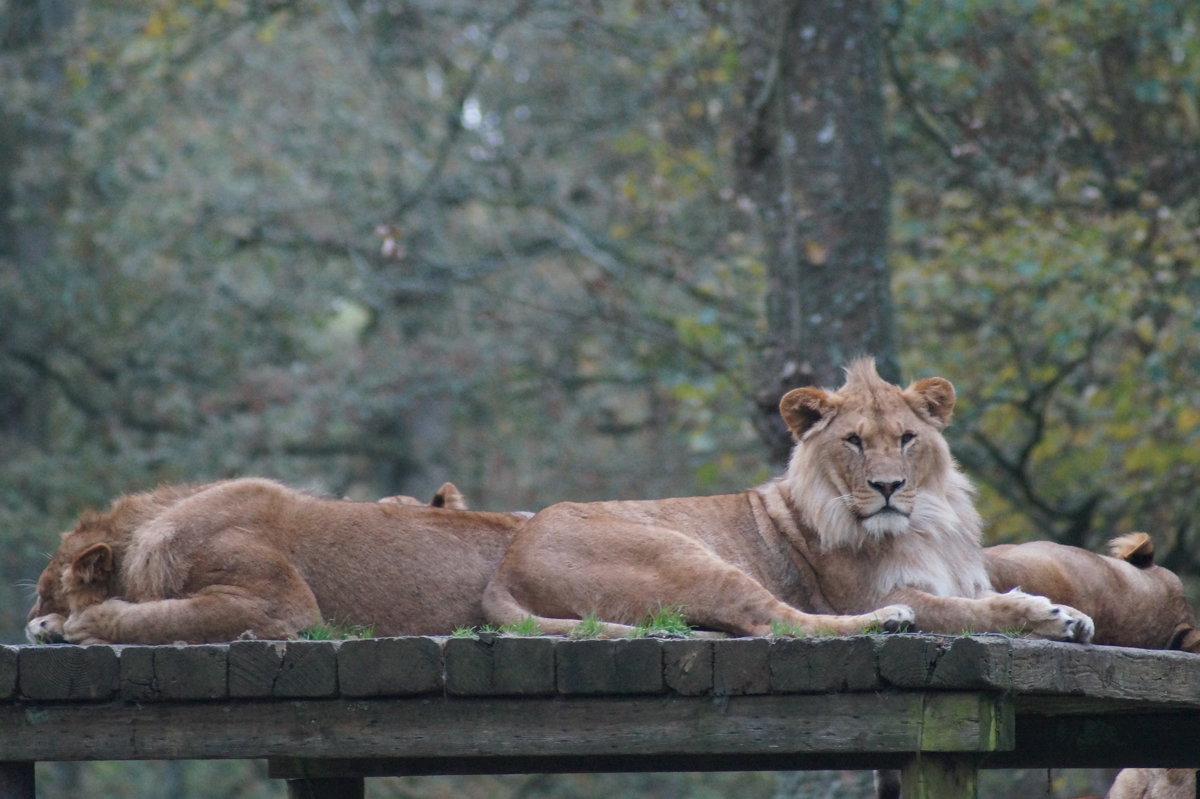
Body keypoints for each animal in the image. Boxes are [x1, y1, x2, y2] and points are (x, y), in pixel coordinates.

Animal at [27, 475, 525, 643]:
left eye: (40, 593)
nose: (31, 617)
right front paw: (51, 627)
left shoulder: (284, 606)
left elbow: (166, 618)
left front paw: (79, 623)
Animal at [482, 357, 1094, 638]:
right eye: (853, 442)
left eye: (905, 438)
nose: (888, 487)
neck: (926, 521)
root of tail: (505, 567)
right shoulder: (863, 592)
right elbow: (963, 610)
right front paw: (1042, 613)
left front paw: (1070, 613)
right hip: (685, 558)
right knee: (776, 622)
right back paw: (887, 621)